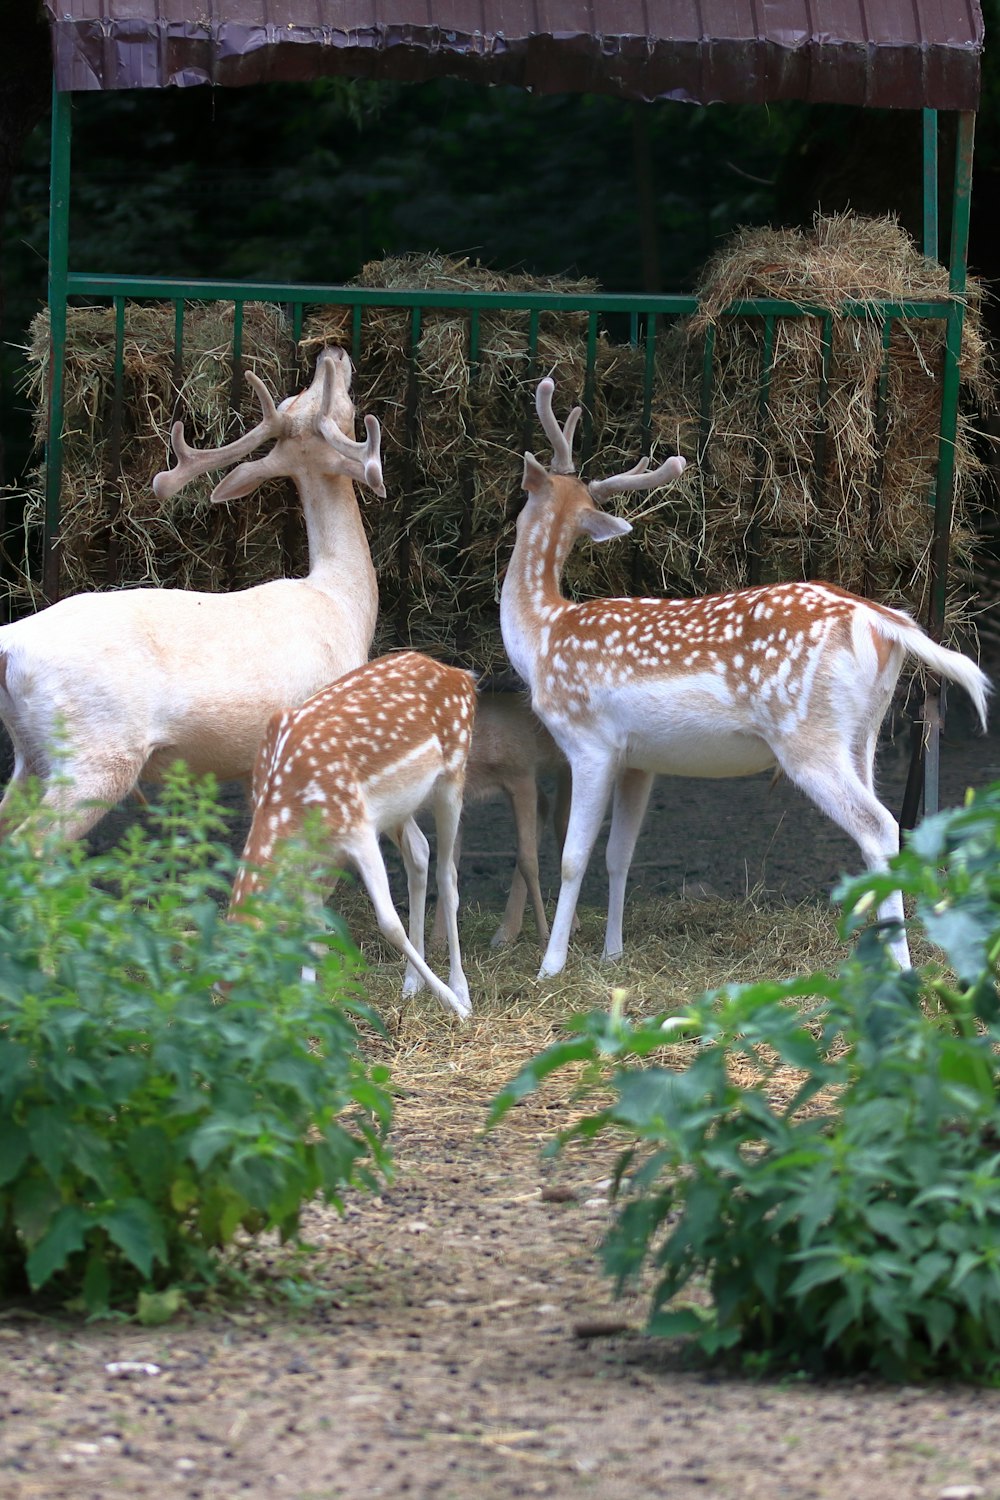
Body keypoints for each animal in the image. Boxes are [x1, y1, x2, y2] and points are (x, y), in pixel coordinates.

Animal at [229, 651, 476, 1026]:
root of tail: (462, 676)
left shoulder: (356, 827)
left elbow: (389, 923)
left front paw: (453, 1005)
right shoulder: (312, 851)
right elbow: (312, 927)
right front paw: (305, 1002)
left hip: (453, 774)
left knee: (448, 876)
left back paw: (461, 992)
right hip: (399, 806)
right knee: (419, 852)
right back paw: (411, 984)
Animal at [503, 381, 989, 978]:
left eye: (525, 496)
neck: (542, 636)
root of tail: (884, 622)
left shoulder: (588, 741)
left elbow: (574, 858)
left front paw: (551, 967)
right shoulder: (639, 758)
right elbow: (620, 855)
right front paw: (612, 953)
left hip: (808, 736)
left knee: (879, 826)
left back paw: (900, 969)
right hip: (863, 734)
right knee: (889, 827)